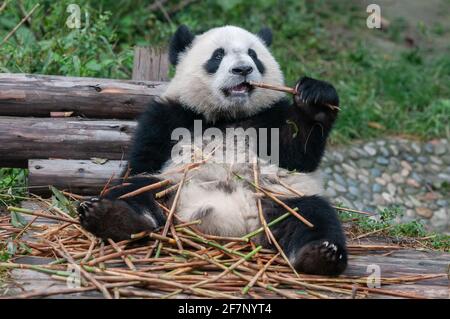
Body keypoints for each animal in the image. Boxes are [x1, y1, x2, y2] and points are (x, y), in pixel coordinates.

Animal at [77, 25, 346, 276]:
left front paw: (316, 99)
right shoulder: (169, 115)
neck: (228, 115)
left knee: (313, 216)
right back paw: (111, 218)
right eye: (218, 55)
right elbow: (143, 162)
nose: (243, 69)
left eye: (253, 54)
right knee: (137, 190)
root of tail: (235, 226)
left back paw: (319, 255)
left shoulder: (269, 116)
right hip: (175, 191)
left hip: (277, 197)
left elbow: (297, 155)